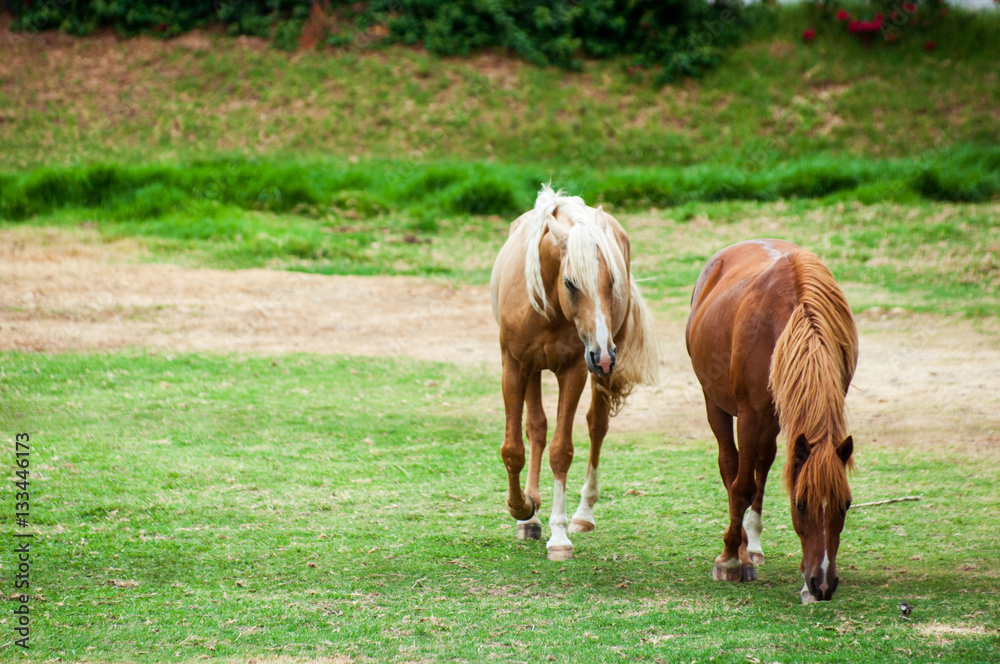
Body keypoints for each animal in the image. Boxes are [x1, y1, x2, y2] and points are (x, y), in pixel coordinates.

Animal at [490, 185, 659, 561]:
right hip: (538, 369)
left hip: (598, 368)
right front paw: (522, 507)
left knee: (597, 425)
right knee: (536, 427)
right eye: (570, 282)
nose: (604, 354)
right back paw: (530, 517)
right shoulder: (514, 365)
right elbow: (514, 448)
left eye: (612, 282)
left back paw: (583, 513)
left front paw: (559, 535)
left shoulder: (576, 371)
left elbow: (562, 451)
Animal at [685, 239, 858, 604]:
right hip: (716, 403)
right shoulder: (749, 416)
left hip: (775, 417)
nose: (823, 584)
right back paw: (741, 552)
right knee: (731, 467)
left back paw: (753, 544)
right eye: (800, 504)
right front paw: (730, 560)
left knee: (762, 465)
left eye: (846, 504)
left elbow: (766, 475)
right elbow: (741, 486)